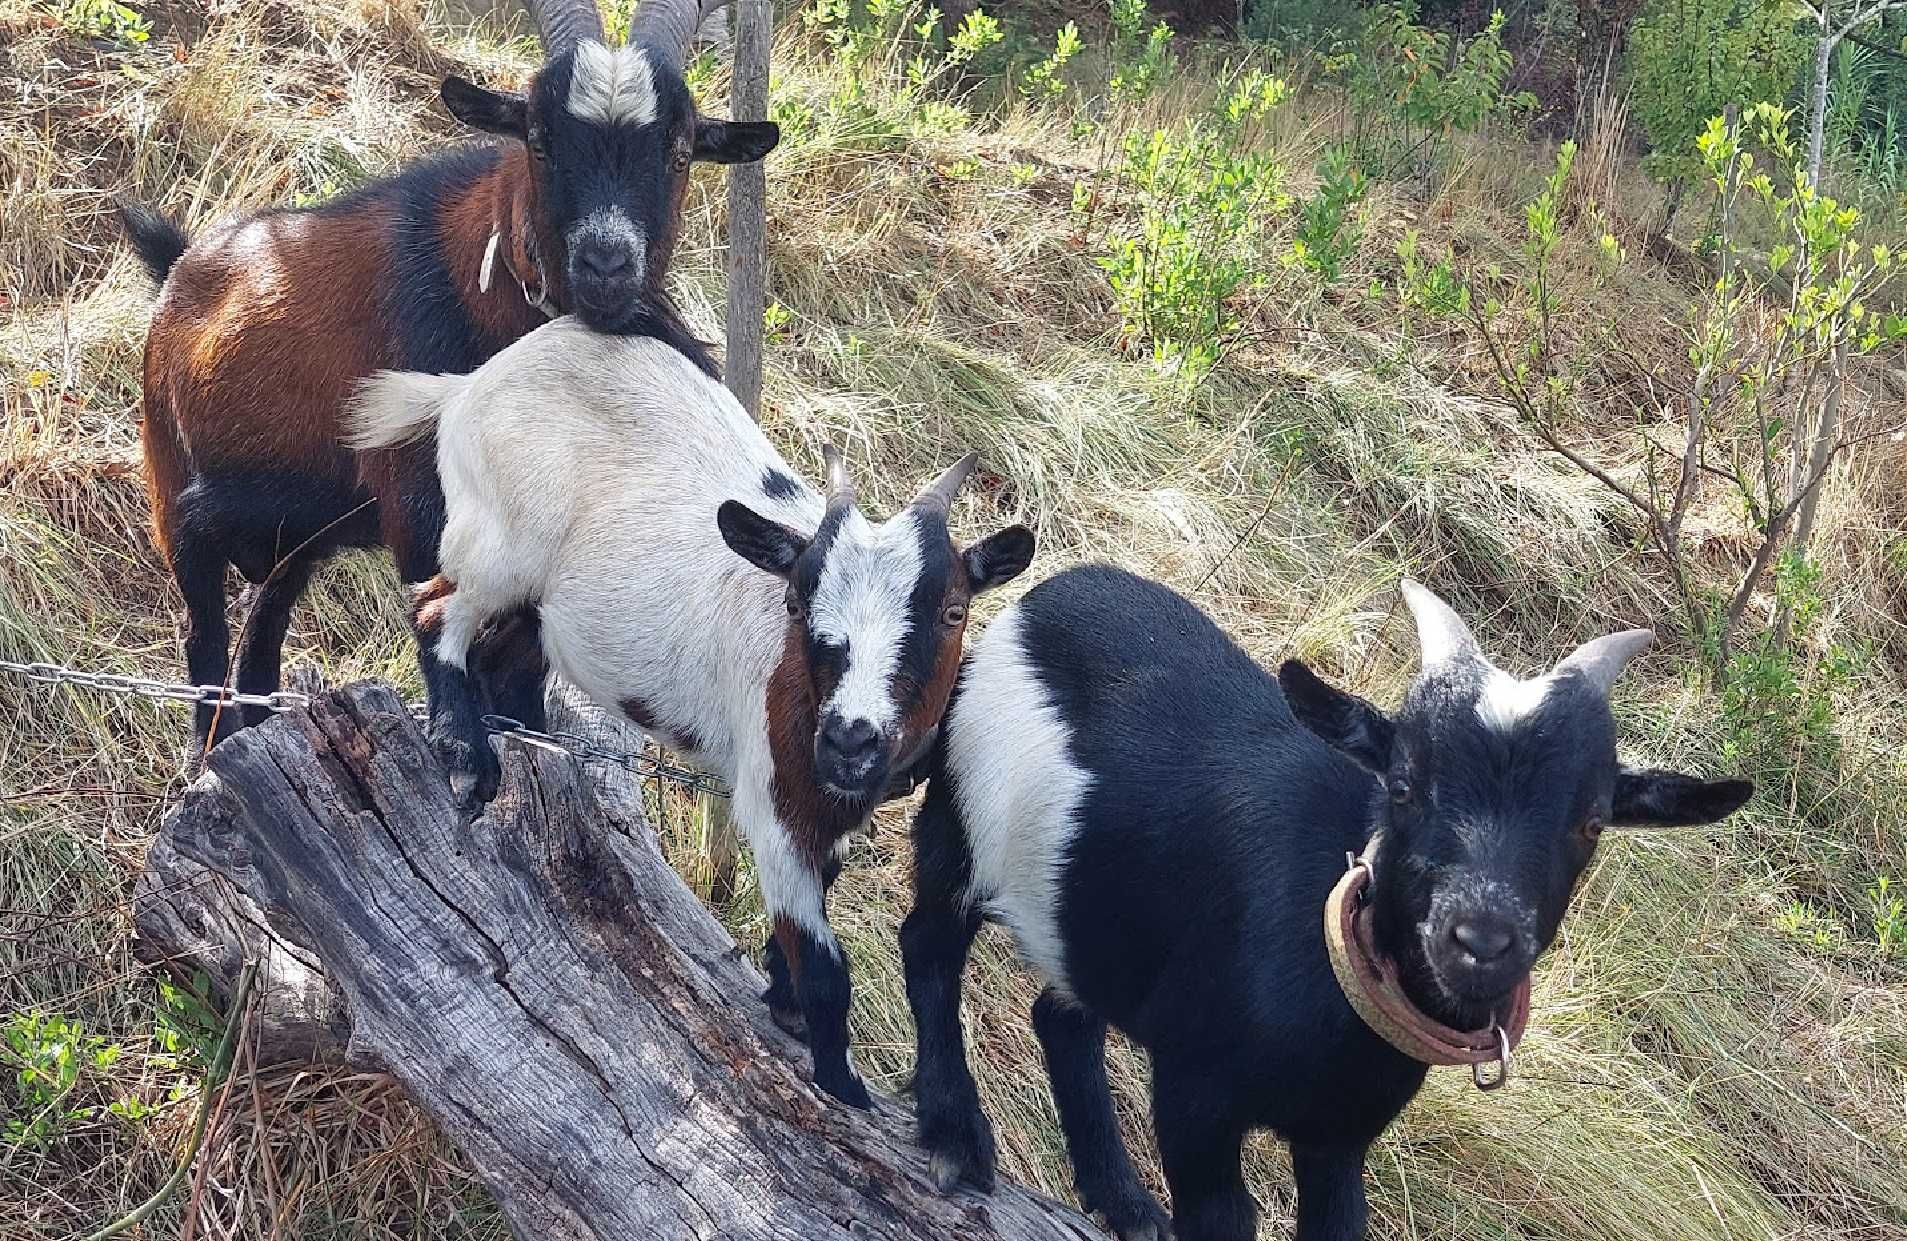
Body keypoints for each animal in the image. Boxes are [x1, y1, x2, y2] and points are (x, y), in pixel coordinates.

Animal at [350, 320, 1037, 1105]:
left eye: (953, 611)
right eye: (796, 600)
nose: (848, 742)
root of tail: (468, 386)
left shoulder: (832, 812)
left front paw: (783, 1001)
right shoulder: (775, 803)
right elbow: (826, 968)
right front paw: (838, 1082)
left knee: (506, 656)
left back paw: (523, 739)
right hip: (497, 547)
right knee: (437, 609)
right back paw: (466, 755)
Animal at [900, 564, 1746, 1241]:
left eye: (1591, 821)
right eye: (1401, 785)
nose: (1479, 939)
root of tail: (1052, 593)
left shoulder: (1338, 1137)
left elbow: (1339, 1222)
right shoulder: (1194, 1091)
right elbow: (1224, 1217)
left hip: (1102, 920)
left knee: (1062, 1014)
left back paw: (1124, 1200)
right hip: (960, 819)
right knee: (929, 944)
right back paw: (954, 1132)